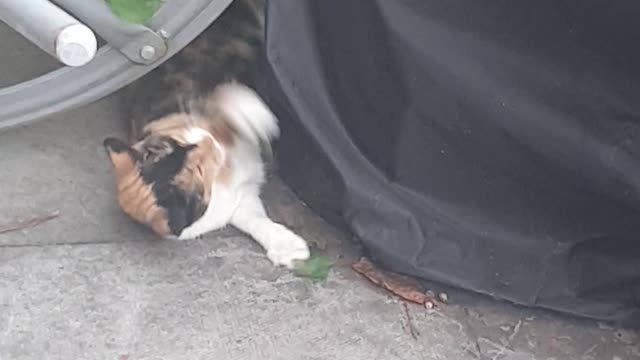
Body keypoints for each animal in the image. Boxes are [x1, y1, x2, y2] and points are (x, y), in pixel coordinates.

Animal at [102, 0, 310, 268]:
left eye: (181, 144)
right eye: (198, 167)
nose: (209, 142)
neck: (222, 179)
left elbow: (227, 105)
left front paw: (255, 115)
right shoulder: (239, 202)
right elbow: (254, 220)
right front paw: (285, 245)